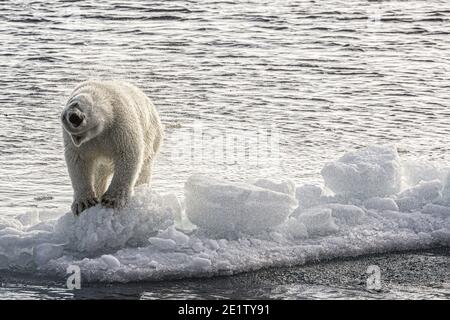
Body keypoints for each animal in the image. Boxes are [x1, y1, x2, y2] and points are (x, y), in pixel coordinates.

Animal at [60, 79, 163, 215]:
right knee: (99, 176)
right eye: (64, 117)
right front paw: (83, 203)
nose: (73, 117)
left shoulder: (120, 123)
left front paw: (112, 200)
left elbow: (128, 153)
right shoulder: (79, 143)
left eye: (75, 104)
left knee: (144, 170)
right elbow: (78, 161)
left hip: (152, 136)